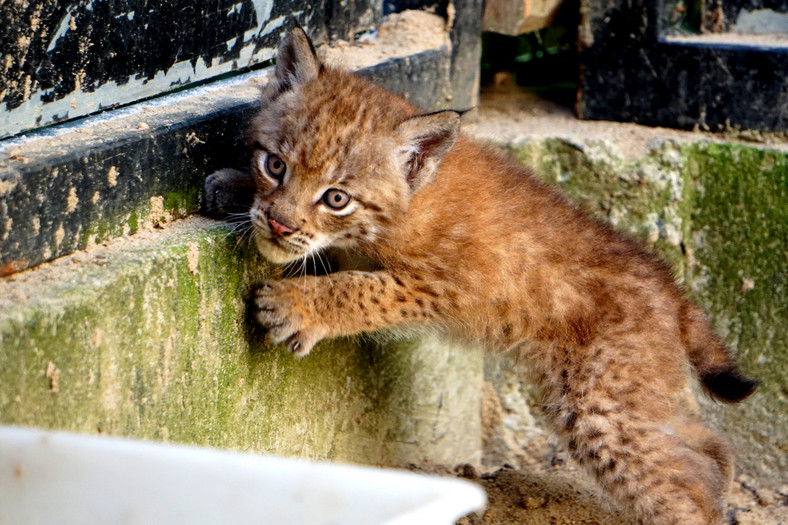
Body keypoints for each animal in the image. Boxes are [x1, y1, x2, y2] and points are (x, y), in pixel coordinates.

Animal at [203, 29, 756, 524]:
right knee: (708, 445)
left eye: (336, 198)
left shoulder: (444, 284)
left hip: (599, 404)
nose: (279, 224)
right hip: (630, 393)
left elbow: (363, 289)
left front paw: (296, 305)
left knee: (680, 484)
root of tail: (670, 284)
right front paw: (233, 189)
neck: (411, 199)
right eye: (275, 165)